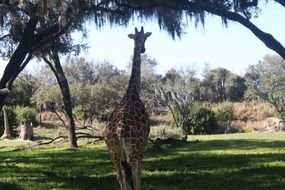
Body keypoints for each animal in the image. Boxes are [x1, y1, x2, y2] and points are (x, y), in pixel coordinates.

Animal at [104, 27, 152, 190]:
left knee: (120, 175)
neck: (132, 92)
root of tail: (118, 133)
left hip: (113, 151)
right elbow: (139, 172)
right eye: (143, 38)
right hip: (132, 150)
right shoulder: (143, 143)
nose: (143, 49)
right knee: (131, 172)